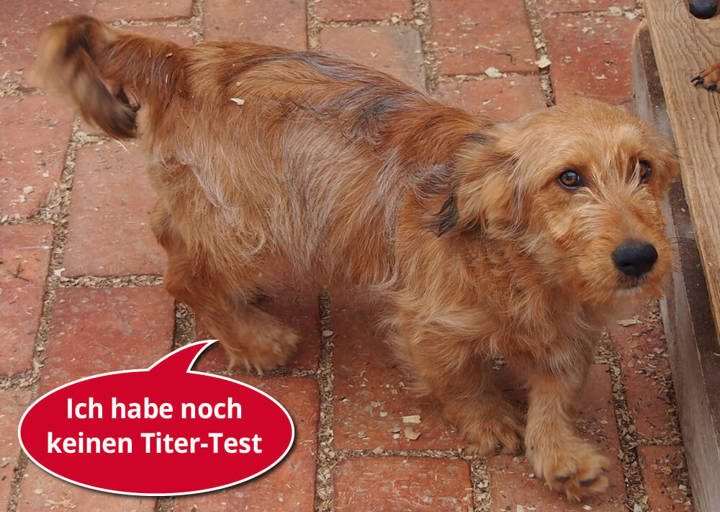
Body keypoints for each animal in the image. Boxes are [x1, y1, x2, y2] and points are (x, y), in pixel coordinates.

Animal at [33, 15, 678, 500]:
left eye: (644, 169)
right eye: (569, 178)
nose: (638, 257)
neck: (523, 265)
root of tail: (179, 58)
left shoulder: (569, 332)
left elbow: (555, 390)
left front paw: (562, 455)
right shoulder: (427, 324)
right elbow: (459, 381)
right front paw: (490, 422)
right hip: (246, 222)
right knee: (182, 274)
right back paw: (255, 338)